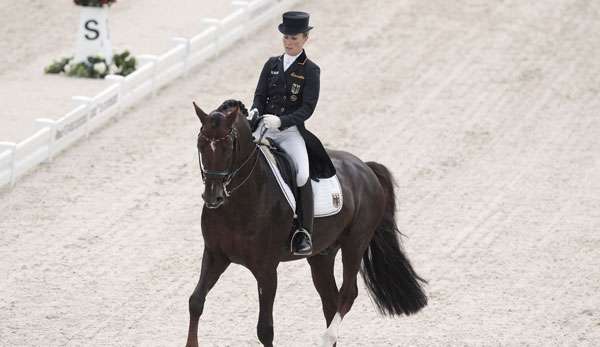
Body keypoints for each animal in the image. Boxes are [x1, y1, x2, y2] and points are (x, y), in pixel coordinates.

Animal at [186, 99, 426, 346]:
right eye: (200, 144)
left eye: (228, 146)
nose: (213, 197)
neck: (239, 203)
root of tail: (365, 168)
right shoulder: (216, 255)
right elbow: (196, 302)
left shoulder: (266, 269)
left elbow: (265, 329)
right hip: (322, 255)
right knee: (330, 300)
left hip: (355, 243)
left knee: (347, 294)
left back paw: (327, 337)